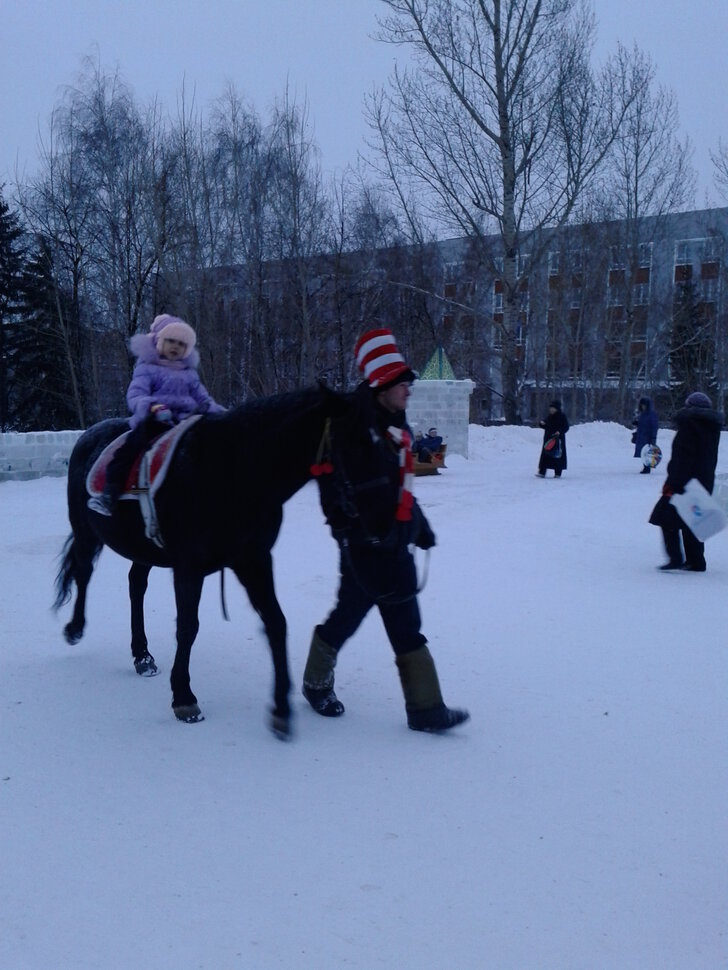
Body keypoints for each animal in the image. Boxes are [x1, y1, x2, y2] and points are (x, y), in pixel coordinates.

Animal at [54, 382, 356, 736]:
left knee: (135, 584)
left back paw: (142, 656)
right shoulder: (189, 567)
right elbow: (187, 627)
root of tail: (88, 435)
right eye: (360, 441)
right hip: (86, 531)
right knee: (84, 572)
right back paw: (75, 629)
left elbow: (276, 622)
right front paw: (184, 698)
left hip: (142, 548)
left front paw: (281, 709)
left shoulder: (254, 560)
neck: (233, 471)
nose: (352, 515)